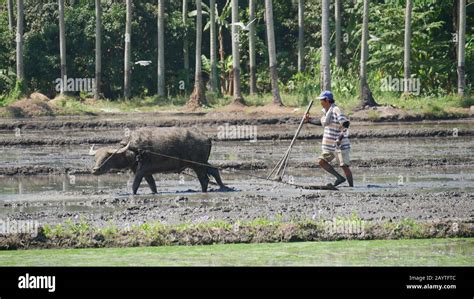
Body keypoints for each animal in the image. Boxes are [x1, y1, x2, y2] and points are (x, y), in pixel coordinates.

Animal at [90, 127, 230, 196]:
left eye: (107, 157)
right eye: (95, 158)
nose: (95, 170)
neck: (134, 150)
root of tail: (207, 138)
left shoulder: (141, 171)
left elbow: (135, 185)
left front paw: (132, 194)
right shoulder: (146, 172)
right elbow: (153, 186)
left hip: (197, 165)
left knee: (204, 179)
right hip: (202, 162)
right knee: (214, 170)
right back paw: (223, 187)